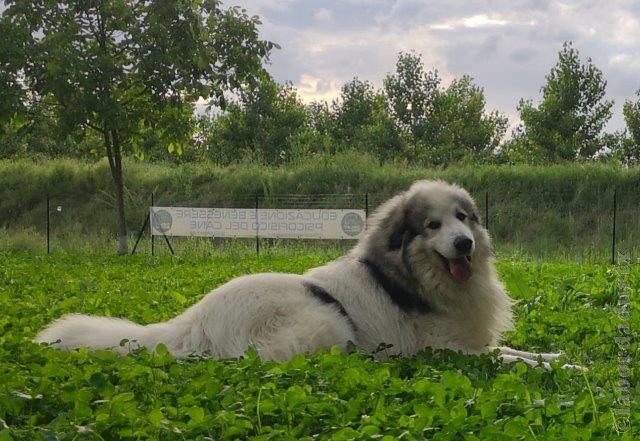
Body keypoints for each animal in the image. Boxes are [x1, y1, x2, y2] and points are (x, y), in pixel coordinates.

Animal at [37, 179, 572, 368]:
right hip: (327, 322)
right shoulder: (442, 349)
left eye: (464, 218)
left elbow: (516, 351)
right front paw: (555, 366)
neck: (422, 281)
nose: (464, 244)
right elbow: (507, 359)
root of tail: (192, 324)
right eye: (432, 226)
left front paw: (560, 357)